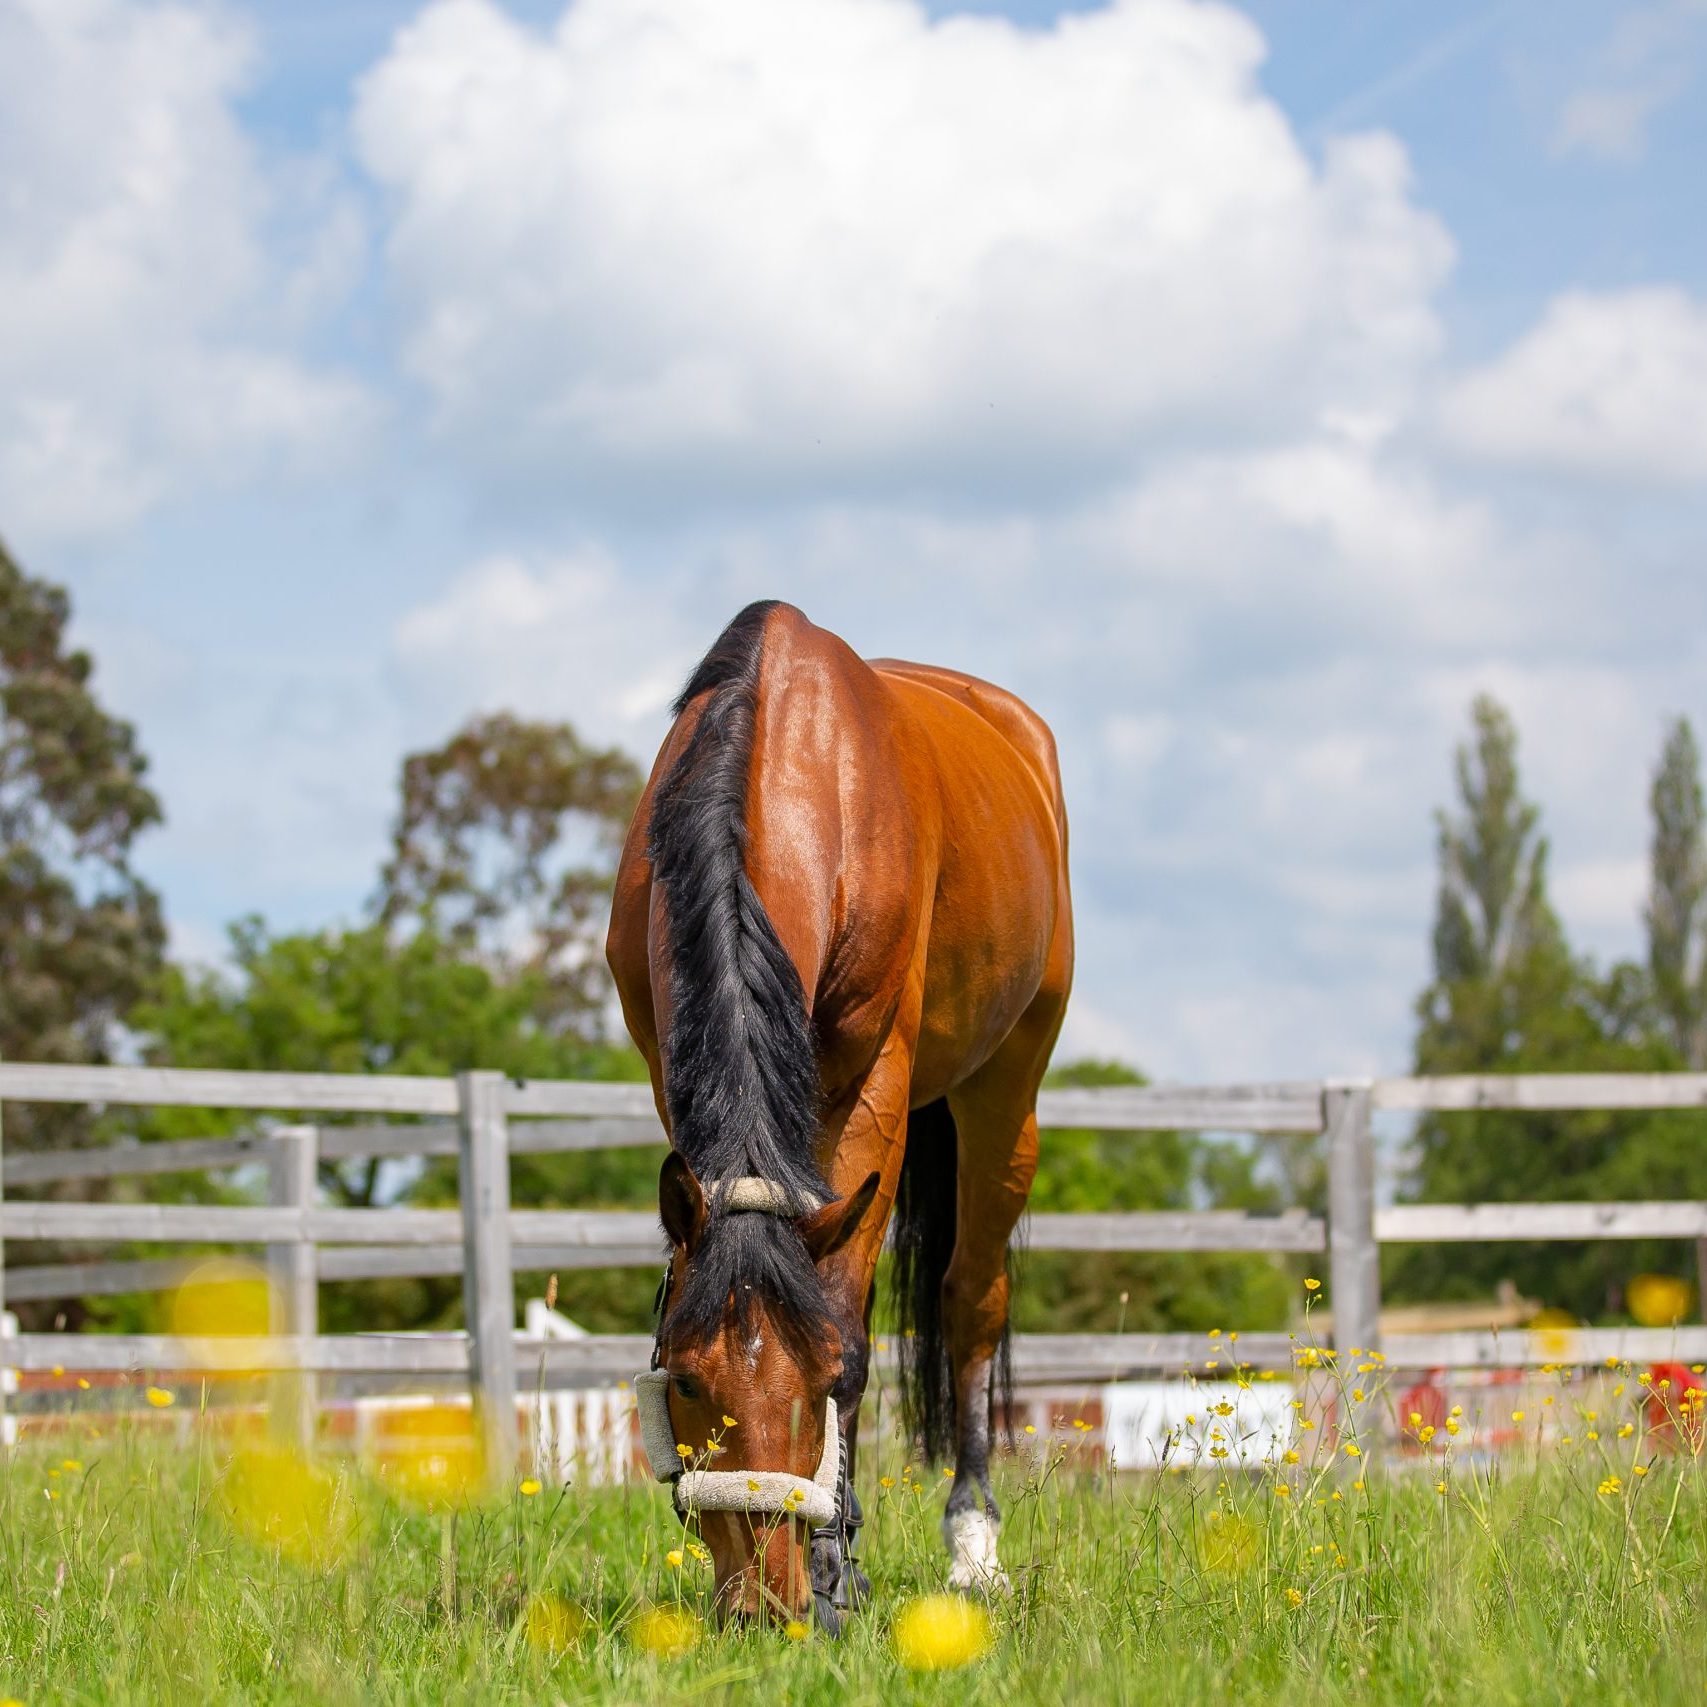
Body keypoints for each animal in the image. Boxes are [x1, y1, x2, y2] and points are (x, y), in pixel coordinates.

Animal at [606, 601, 1072, 1627]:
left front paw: (834, 1569)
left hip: (1006, 1086)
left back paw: (971, 1545)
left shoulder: (877, 1081)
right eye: (687, 1377)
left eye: (817, 1379)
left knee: (970, 1300)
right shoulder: (667, 1065)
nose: (763, 1603)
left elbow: (854, 1322)